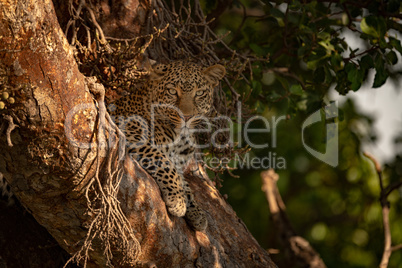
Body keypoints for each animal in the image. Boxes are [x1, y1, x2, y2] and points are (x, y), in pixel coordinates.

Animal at [107, 60, 226, 230]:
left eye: (199, 93)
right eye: (172, 91)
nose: (187, 117)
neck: (181, 137)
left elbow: (185, 184)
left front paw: (197, 212)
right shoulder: (130, 131)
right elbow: (165, 163)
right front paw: (178, 201)